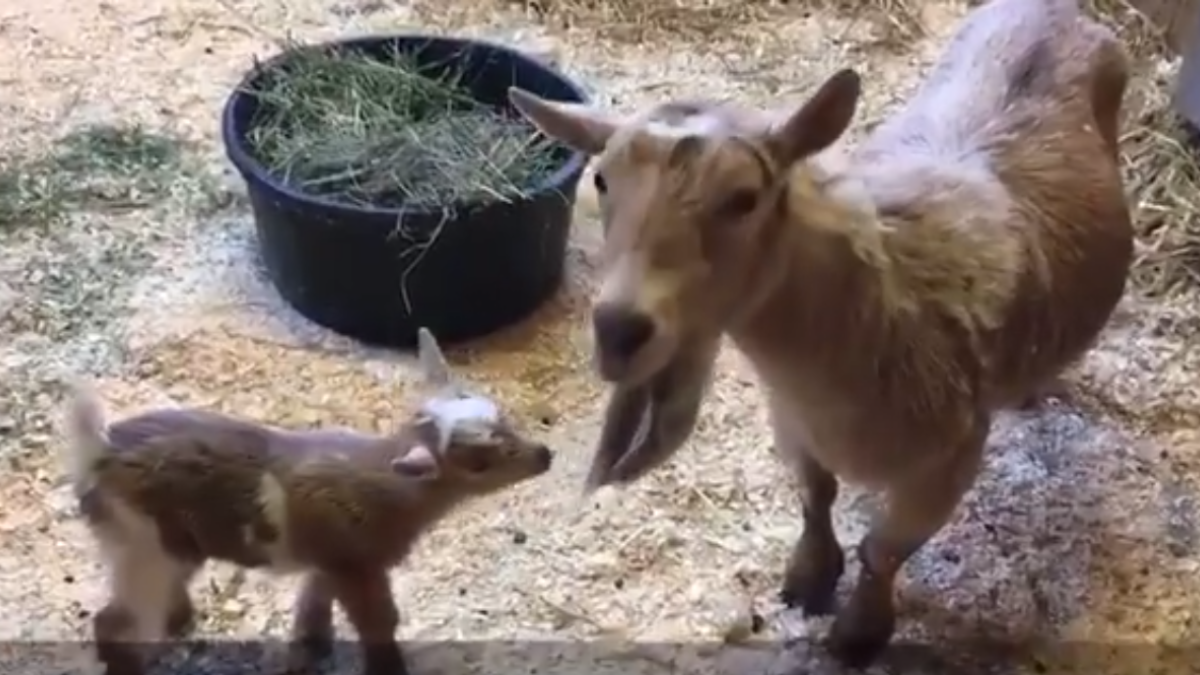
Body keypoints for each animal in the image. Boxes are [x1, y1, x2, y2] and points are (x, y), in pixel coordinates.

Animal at [60, 326, 552, 672]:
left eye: (504, 418)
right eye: (479, 463)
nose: (544, 456)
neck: (387, 486)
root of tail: (99, 453)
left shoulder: (332, 560)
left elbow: (313, 603)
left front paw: (312, 649)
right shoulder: (359, 566)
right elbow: (379, 621)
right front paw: (386, 668)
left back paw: (180, 622)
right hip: (144, 548)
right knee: (113, 623)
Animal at [504, 0, 1132, 662]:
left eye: (744, 197)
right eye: (600, 181)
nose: (618, 331)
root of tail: (1051, 9)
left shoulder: (949, 459)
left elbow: (881, 551)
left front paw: (857, 635)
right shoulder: (793, 421)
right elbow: (815, 497)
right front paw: (807, 580)